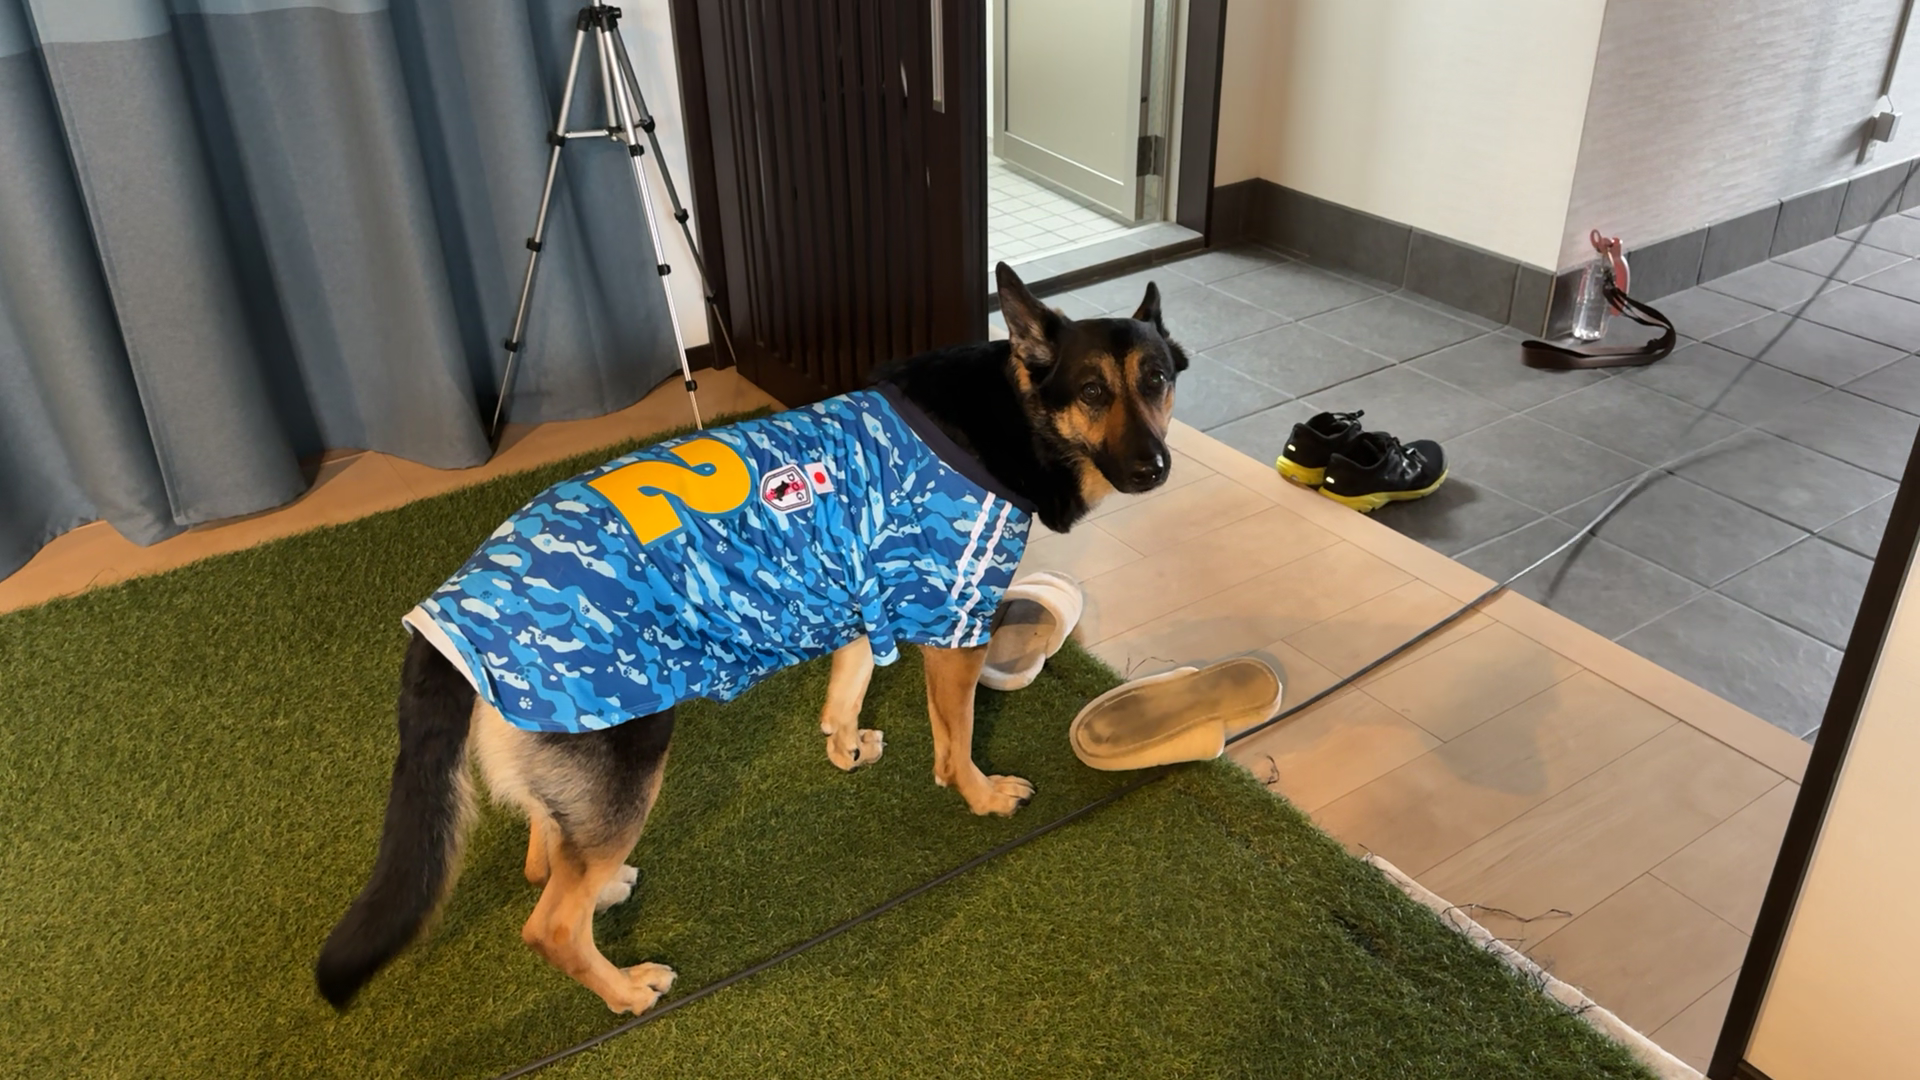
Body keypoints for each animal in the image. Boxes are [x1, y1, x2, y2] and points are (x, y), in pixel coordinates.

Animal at [314, 263, 1188, 1016]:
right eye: (1091, 390)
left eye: (1156, 381)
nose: (1156, 469)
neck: (1014, 410)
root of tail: (446, 615)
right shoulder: (956, 621)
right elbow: (957, 734)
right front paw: (978, 793)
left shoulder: (855, 593)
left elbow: (847, 686)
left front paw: (846, 747)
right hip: (630, 749)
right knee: (549, 923)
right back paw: (623, 988)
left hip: (570, 750)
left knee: (544, 854)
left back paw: (604, 892)